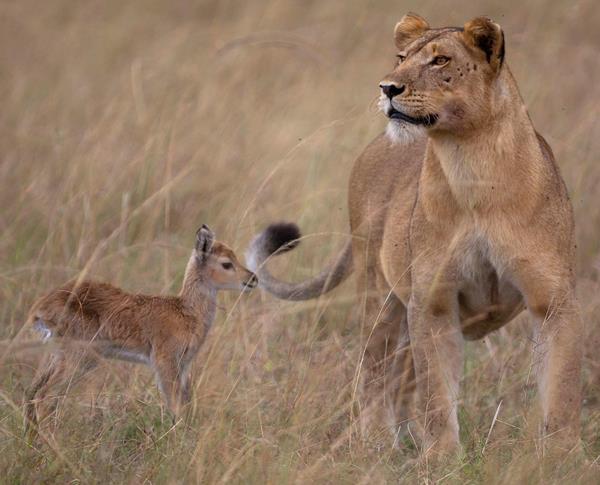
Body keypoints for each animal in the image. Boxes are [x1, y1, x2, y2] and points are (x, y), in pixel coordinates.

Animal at [24, 225, 255, 432]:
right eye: (226, 263)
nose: (252, 278)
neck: (186, 312)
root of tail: (39, 307)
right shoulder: (164, 362)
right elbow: (175, 406)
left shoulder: (184, 366)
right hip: (79, 358)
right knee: (44, 397)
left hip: (59, 356)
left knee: (32, 392)